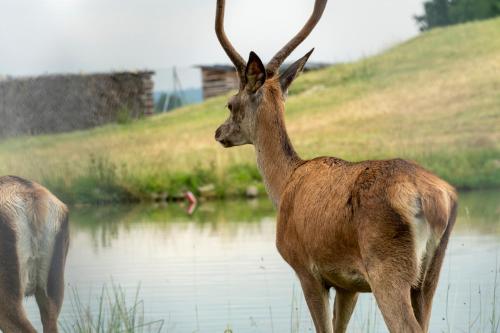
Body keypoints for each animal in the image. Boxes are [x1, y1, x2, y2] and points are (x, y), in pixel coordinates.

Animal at [213, 1, 458, 330]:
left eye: (230, 103)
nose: (219, 132)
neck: (284, 183)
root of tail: (433, 198)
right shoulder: (347, 285)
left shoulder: (306, 268)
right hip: (430, 274)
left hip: (387, 267)